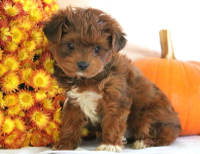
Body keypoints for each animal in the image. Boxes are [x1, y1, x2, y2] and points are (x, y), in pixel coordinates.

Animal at [43, 6, 182, 152]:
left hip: (149, 117)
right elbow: (70, 122)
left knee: (161, 135)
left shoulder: (116, 97)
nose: (82, 65)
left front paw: (109, 145)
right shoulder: (74, 101)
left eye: (97, 48)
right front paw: (66, 144)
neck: (88, 79)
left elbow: (113, 122)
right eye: (70, 45)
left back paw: (142, 142)